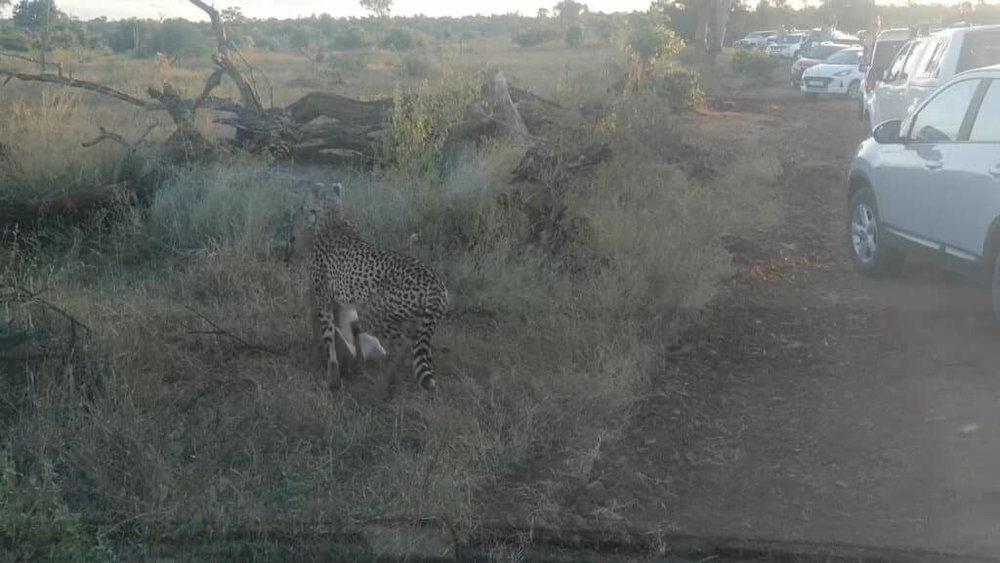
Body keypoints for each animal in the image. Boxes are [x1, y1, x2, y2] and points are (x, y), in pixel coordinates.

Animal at [290, 182, 448, 391]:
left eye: (304, 205)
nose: (301, 209)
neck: (334, 217)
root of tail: (436, 282)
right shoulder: (337, 300)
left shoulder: (324, 300)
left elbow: (329, 338)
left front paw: (332, 376)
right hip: (420, 321)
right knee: (420, 347)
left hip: (374, 310)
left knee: (402, 343)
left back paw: (385, 382)